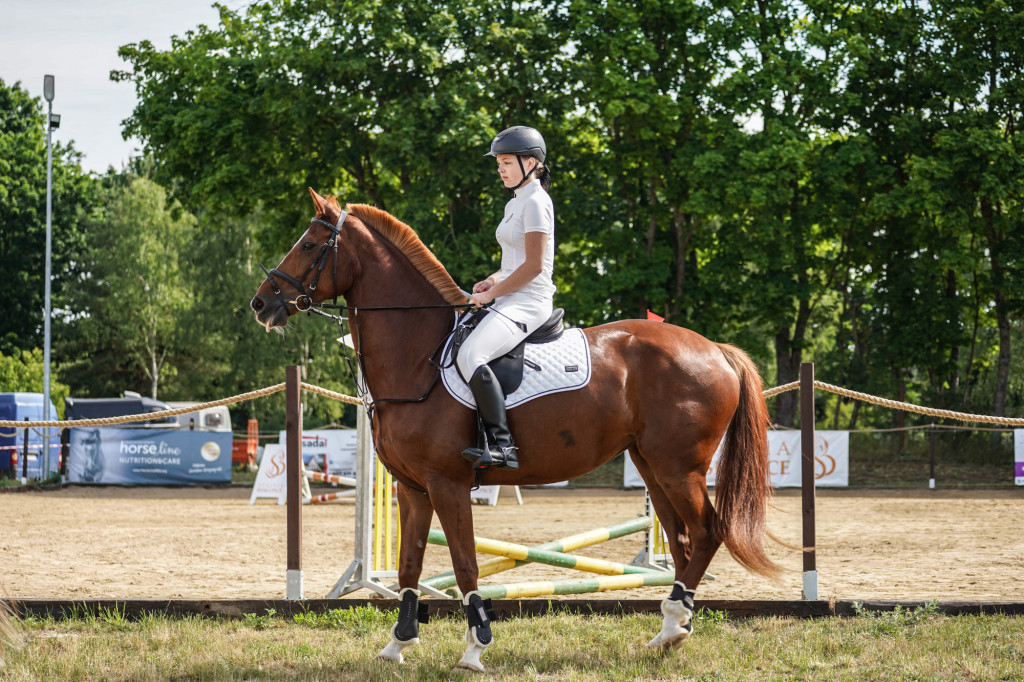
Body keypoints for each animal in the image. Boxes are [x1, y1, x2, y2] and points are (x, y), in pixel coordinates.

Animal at [249, 188, 774, 671]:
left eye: (310, 244)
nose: (261, 303)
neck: (417, 356)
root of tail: (715, 349)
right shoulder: (411, 487)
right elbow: (409, 564)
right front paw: (398, 643)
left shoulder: (447, 484)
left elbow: (464, 563)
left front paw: (475, 646)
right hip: (653, 466)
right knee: (683, 540)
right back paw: (669, 631)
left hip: (678, 467)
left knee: (706, 532)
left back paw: (676, 621)